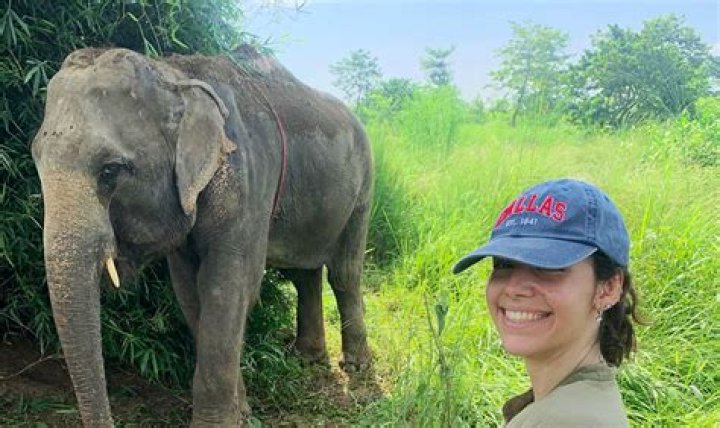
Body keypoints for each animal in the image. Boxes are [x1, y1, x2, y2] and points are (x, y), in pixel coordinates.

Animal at [31, 46, 372, 427]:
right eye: (37, 164)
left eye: (111, 170)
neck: (174, 73)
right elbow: (189, 292)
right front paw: (241, 411)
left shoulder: (250, 182)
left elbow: (230, 288)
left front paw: (222, 420)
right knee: (304, 274)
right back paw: (307, 357)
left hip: (363, 188)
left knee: (344, 273)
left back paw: (356, 366)